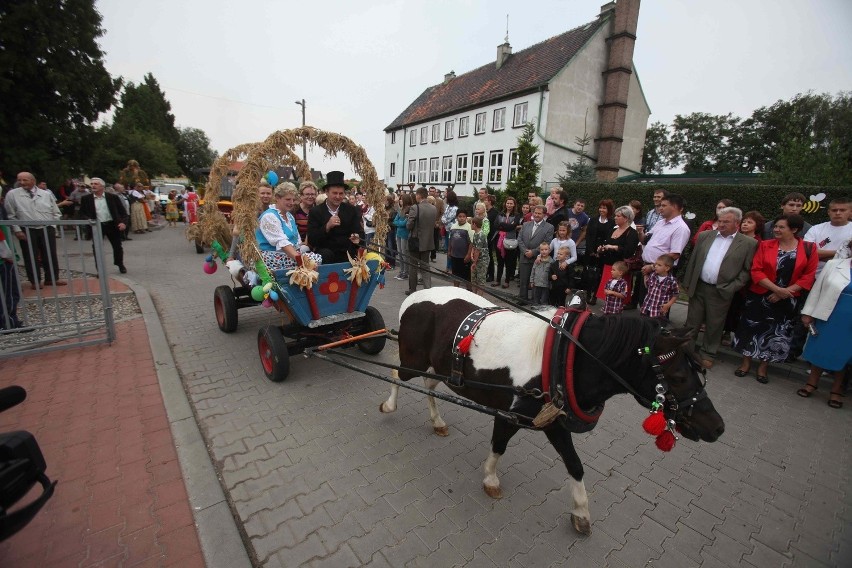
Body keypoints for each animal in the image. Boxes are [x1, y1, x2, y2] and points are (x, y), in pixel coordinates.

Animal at [382, 286, 724, 536]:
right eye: (678, 377)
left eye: (697, 372)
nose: (717, 426)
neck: (564, 357)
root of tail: (414, 297)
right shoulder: (512, 415)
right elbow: (499, 446)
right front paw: (491, 479)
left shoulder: (554, 421)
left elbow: (575, 465)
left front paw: (581, 513)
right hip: (413, 359)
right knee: (398, 373)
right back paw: (390, 404)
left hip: (438, 367)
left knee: (428, 383)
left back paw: (437, 421)